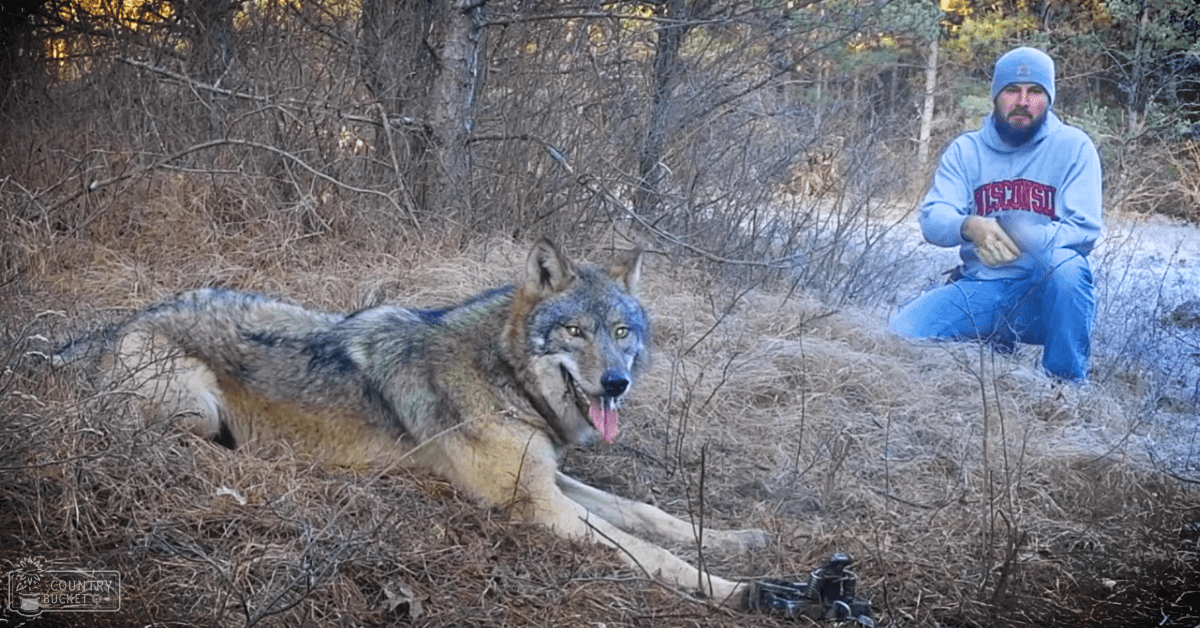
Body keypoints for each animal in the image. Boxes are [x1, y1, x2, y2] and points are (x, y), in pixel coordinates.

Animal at [55, 240, 770, 609]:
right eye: (575, 331)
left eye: (622, 333)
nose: (617, 383)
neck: (502, 374)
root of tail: (126, 320)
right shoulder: (535, 506)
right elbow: (651, 554)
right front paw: (740, 591)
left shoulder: (551, 481)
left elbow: (651, 515)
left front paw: (740, 540)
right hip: (198, 411)